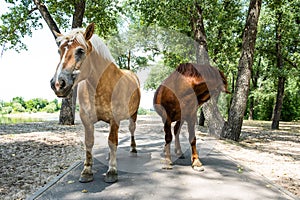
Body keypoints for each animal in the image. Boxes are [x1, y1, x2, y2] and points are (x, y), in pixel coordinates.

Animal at [50, 23, 141, 183]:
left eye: (80, 50)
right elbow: (89, 142)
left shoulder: (115, 119)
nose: (58, 84)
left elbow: (112, 141)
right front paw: (87, 171)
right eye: (59, 50)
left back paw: (133, 148)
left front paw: (112, 171)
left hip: (133, 114)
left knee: (131, 130)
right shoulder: (87, 120)